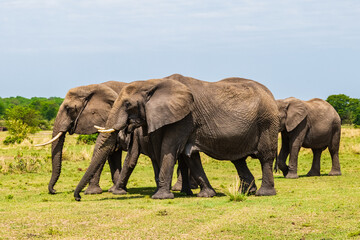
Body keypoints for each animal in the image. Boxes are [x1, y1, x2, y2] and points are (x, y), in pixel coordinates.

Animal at [73, 73, 280, 201]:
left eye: (127, 104)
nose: (78, 197)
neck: (151, 83)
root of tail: (270, 93)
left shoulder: (184, 117)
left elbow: (169, 149)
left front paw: (160, 197)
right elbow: (190, 156)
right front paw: (206, 195)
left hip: (267, 122)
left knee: (265, 157)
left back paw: (264, 194)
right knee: (239, 160)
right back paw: (247, 192)